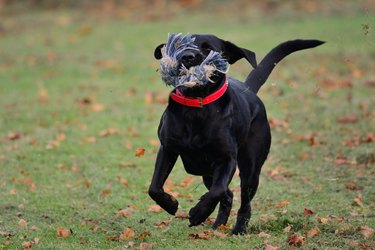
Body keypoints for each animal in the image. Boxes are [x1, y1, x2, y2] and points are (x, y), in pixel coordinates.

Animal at [148, 34, 324, 235]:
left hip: (250, 169)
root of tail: (249, 89)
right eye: (180, 45)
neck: (196, 108)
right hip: (208, 173)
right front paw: (170, 204)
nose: (187, 57)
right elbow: (154, 187)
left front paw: (198, 213)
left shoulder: (227, 159)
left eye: (208, 48)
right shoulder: (168, 149)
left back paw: (238, 229)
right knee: (228, 194)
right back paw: (218, 224)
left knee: (242, 202)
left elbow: (216, 191)